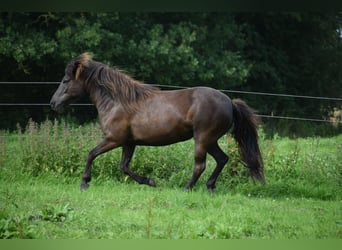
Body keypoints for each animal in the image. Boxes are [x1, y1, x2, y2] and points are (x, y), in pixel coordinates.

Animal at [50, 51, 264, 190]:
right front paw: (151, 182)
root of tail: (229, 101)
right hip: (210, 140)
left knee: (200, 165)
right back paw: (210, 186)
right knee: (222, 159)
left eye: (66, 81)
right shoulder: (129, 143)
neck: (117, 101)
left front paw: (84, 182)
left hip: (202, 139)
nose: (53, 103)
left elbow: (91, 154)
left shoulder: (114, 139)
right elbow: (124, 167)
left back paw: (187, 188)